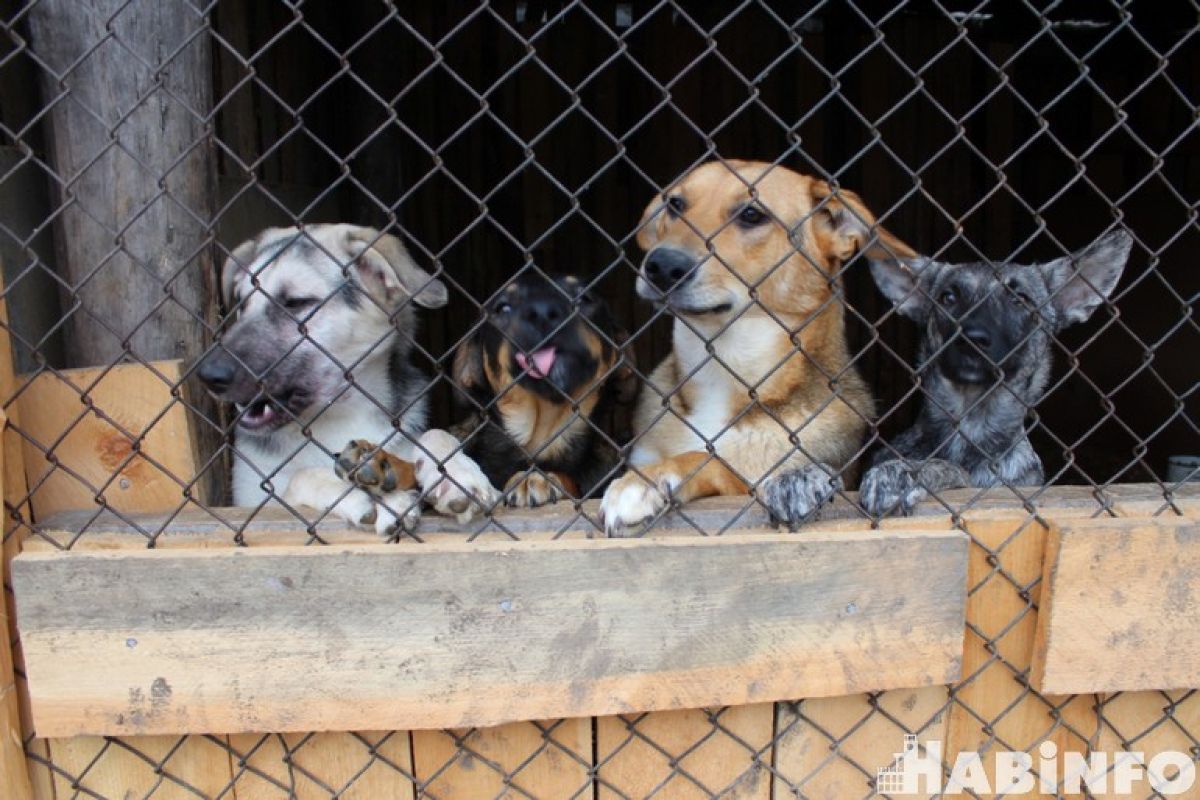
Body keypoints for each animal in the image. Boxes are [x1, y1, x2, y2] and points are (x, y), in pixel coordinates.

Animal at [199, 224, 494, 537]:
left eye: (296, 303)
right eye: (242, 303)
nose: (208, 376)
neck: (341, 414)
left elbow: (437, 434)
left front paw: (456, 474)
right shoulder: (254, 498)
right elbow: (299, 476)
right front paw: (371, 496)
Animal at [600, 159, 916, 534]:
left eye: (752, 214)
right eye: (675, 205)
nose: (661, 265)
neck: (720, 367)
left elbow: (711, 459)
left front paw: (644, 482)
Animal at [859, 230, 1128, 520]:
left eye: (1019, 299)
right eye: (948, 298)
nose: (972, 339)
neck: (968, 423)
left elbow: (952, 470)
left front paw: (902, 474)